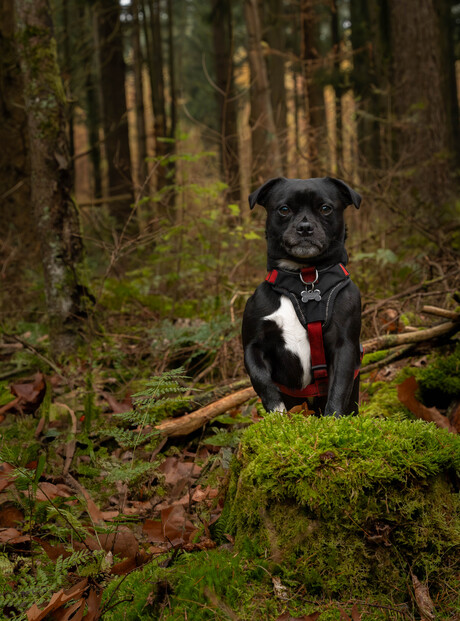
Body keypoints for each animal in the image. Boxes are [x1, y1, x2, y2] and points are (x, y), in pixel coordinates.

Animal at [241, 176, 362, 416]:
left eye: (325, 208)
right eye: (284, 209)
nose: (305, 227)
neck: (304, 278)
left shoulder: (344, 345)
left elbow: (338, 387)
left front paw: (333, 419)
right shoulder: (253, 345)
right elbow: (261, 380)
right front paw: (277, 413)